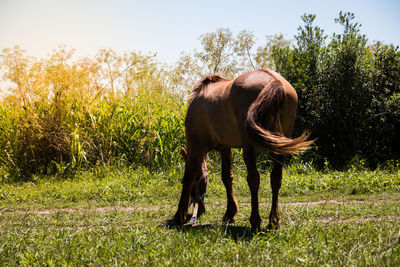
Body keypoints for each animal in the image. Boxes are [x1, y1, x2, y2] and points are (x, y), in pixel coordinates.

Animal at [169, 69, 312, 232]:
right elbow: (227, 177)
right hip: (279, 146)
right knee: (276, 179)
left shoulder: (196, 145)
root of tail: (274, 80)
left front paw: (178, 216)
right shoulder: (225, 148)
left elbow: (189, 174)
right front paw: (230, 213)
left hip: (249, 148)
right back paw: (273, 220)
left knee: (253, 179)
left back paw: (255, 220)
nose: (199, 211)